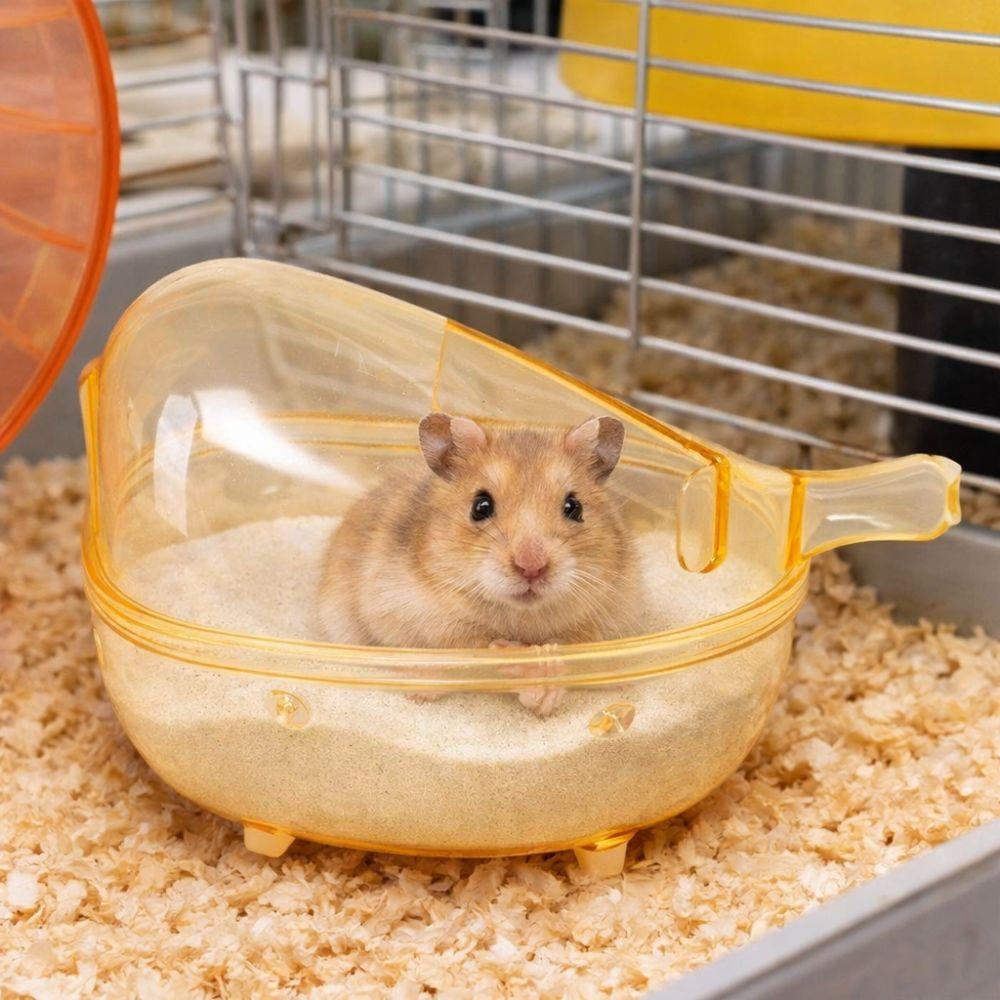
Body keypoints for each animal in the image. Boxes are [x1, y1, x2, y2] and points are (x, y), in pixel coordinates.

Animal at [318, 412, 640, 715]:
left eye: (575, 507)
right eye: (480, 506)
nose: (531, 568)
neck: (521, 616)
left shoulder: (603, 617)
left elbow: (569, 648)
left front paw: (544, 694)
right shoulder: (418, 613)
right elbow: (476, 644)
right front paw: (523, 667)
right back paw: (419, 690)